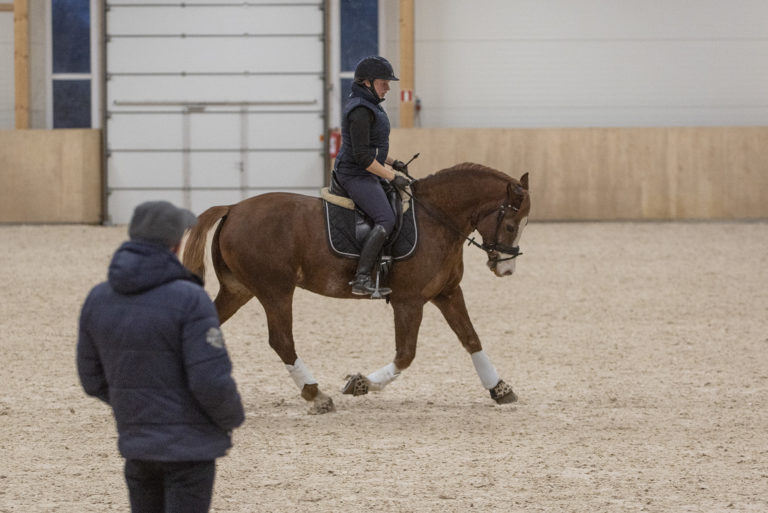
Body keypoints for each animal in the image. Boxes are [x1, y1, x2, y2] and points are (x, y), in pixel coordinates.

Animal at [182, 162, 528, 414]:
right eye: (511, 225)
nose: (506, 269)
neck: (437, 219)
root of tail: (233, 208)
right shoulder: (409, 301)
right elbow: (406, 355)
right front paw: (360, 383)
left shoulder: (447, 293)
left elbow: (471, 339)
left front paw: (499, 388)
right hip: (275, 291)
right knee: (281, 341)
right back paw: (316, 395)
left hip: (239, 289)